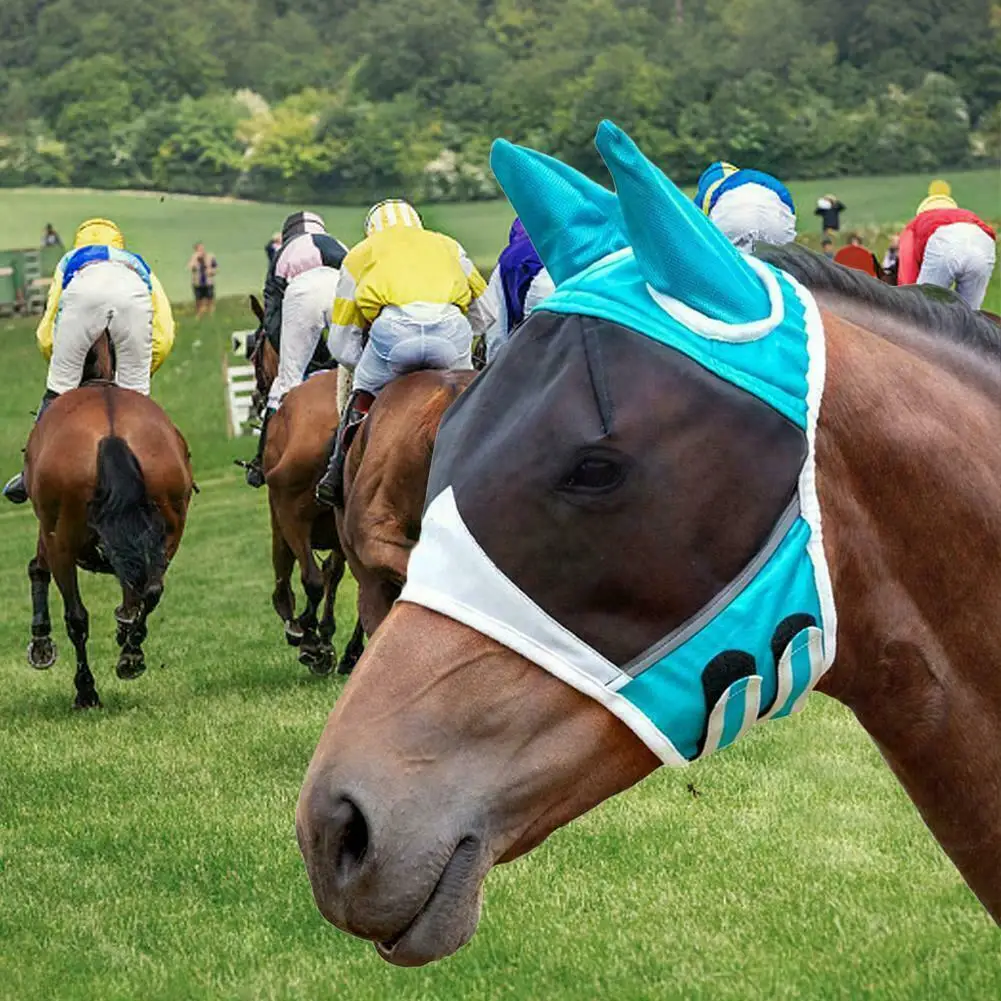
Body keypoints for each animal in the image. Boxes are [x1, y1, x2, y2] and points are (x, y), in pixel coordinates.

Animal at [24, 383, 193, 708]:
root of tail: (112, 433)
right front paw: (126, 628)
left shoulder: (50, 536)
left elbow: (38, 569)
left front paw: (41, 643)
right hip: (170, 528)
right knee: (151, 590)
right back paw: (130, 655)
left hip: (61, 541)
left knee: (76, 617)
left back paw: (86, 691)